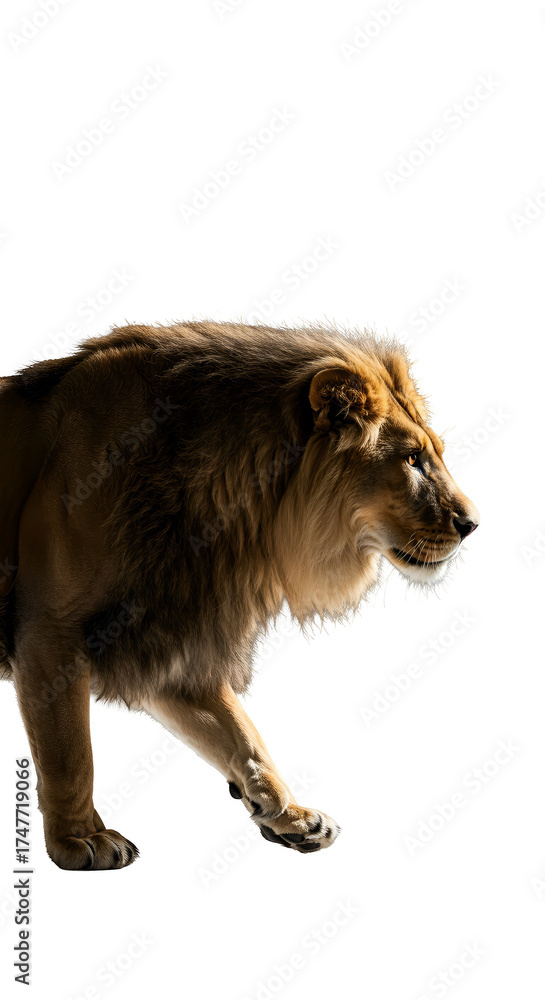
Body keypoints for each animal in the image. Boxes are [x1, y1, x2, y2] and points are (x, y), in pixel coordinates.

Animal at [0, 321, 479, 869]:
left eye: (433, 453)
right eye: (412, 459)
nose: (473, 524)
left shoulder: (170, 640)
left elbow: (242, 734)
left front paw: (286, 811)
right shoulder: (48, 630)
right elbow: (70, 752)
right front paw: (80, 840)